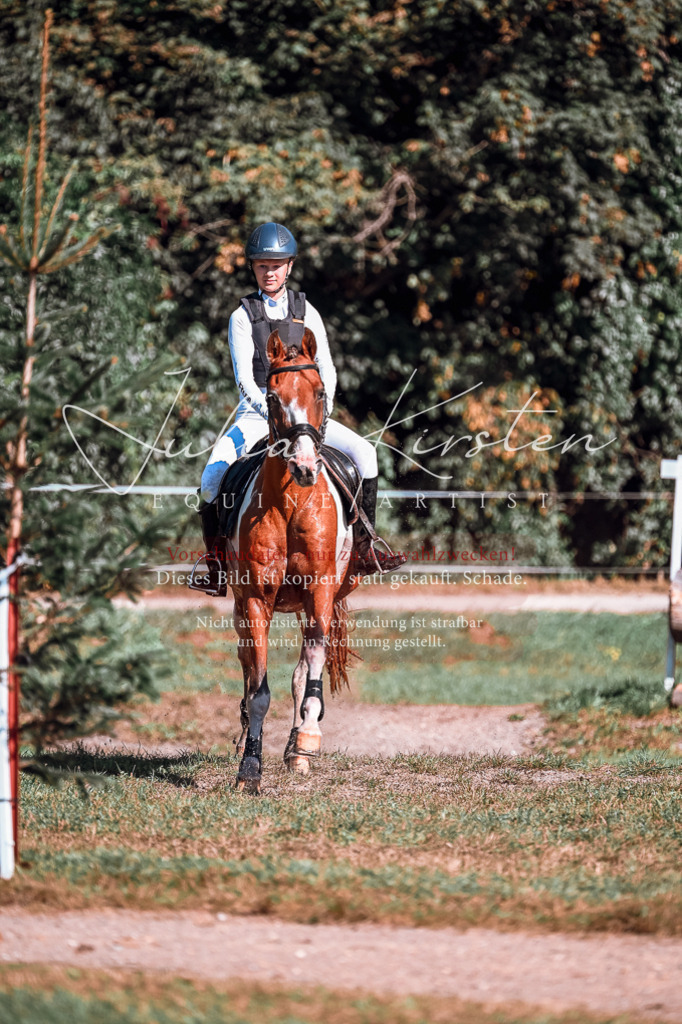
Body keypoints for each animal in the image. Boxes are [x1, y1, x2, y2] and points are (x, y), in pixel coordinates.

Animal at [226, 327, 360, 792]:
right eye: (270, 397)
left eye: (319, 392)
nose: (304, 467)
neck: (290, 503)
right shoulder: (254, 600)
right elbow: (259, 689)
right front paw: (250, 768)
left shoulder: (319, 594)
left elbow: (311, 672)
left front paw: (306, 741)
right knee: (247, 662)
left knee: (302, 670)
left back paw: (297, 746)